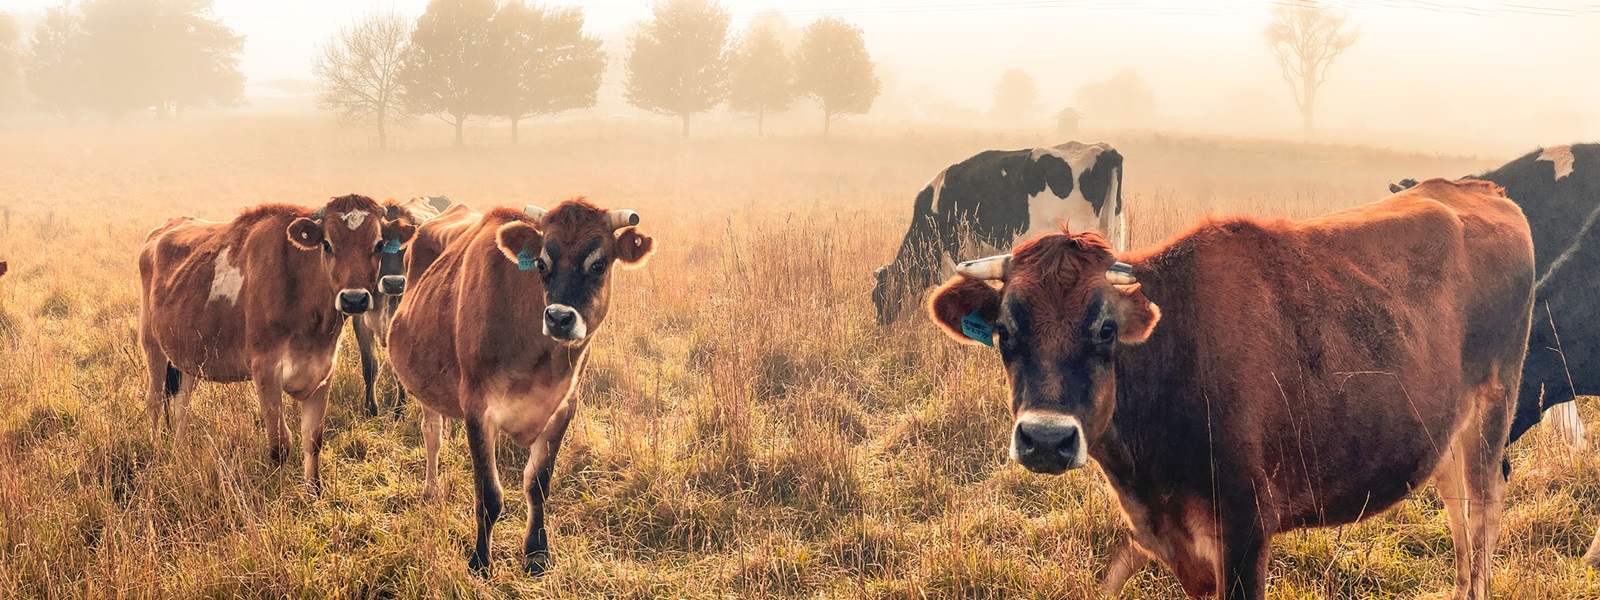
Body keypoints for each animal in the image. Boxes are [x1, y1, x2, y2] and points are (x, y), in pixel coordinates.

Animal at [138, 195, 416, 489]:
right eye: (327, 244)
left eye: (378, 244)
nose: (354, 299)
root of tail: (163, 229)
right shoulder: (266, 372)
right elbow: (280, 444)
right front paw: (278, 492)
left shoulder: (323, 370)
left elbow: (313, 438)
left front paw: (314, 489)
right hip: (152, 344)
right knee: (154, 400)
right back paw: (157, 449)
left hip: (188, 354)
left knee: (182, 404)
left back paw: (180, 452)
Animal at [388, 200, 656, 576]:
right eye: (542, 263)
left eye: (599, 263)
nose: (559, 318)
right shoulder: (477, 408)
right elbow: (488, 493)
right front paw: (480, 561)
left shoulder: (563, 407)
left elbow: (538, 484)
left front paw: (536, 554)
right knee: (432, 435)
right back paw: (431, 491)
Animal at [928, 178, 1536, 600]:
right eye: (1005, 331)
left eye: (1105, 330)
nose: (1047, 440)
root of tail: (1478, 188)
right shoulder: (1177, 542)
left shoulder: (1245, 529)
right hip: (1446, 435)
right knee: (1459, 520)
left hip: (1492, 413)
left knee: (1483, 519)